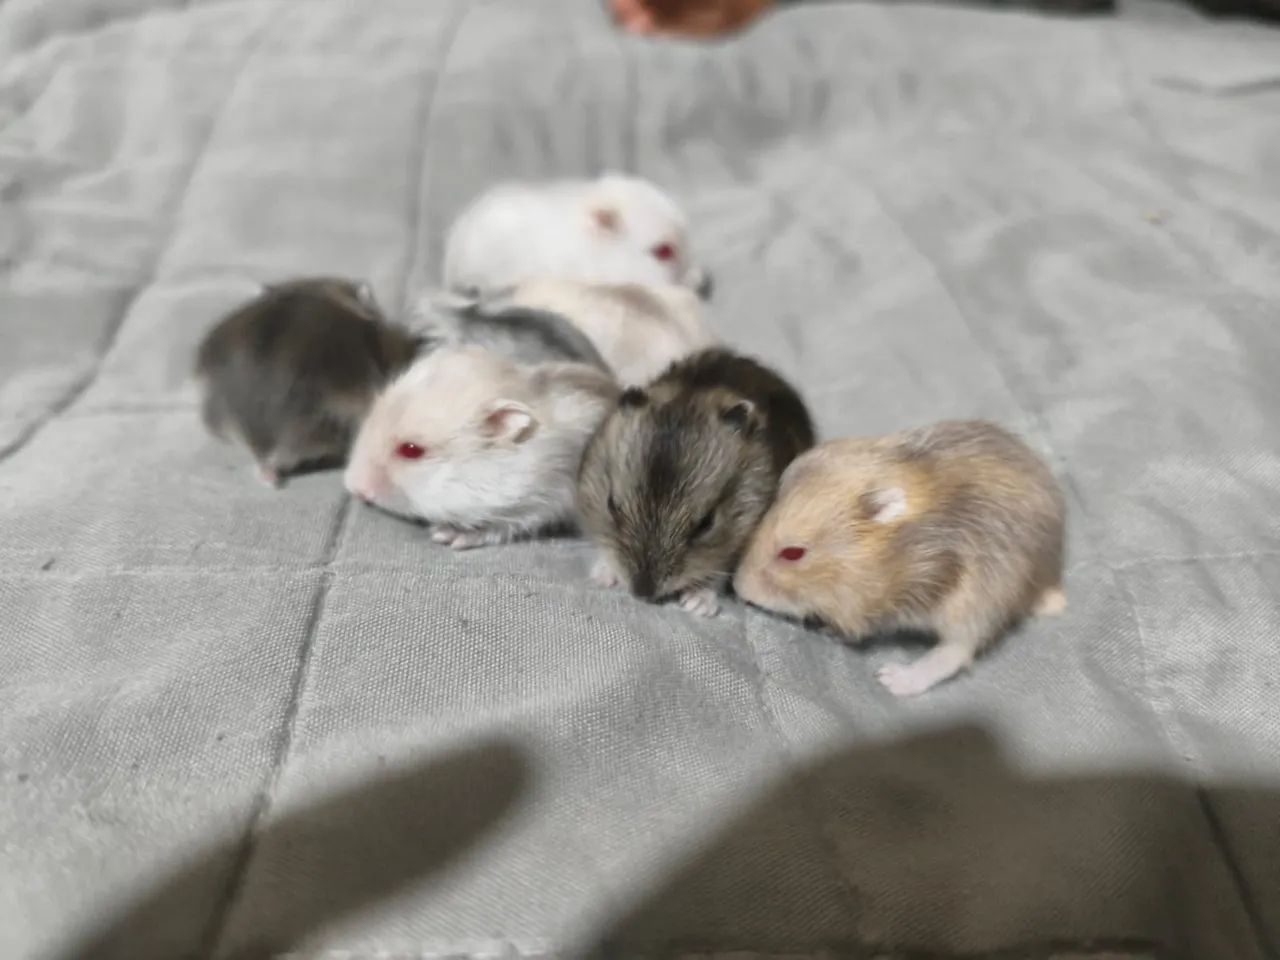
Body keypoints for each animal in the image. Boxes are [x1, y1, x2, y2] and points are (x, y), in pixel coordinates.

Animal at [733, 421, 1067, 697]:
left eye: (793, 553)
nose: (737, 587)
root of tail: (1045, 580)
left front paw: (832, 631)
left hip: (980, 601)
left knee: (955, 652)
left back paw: (893, 679)